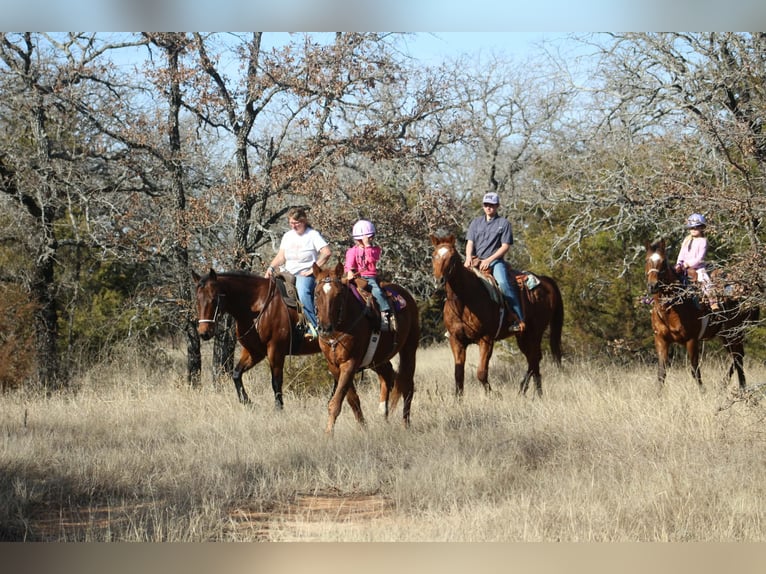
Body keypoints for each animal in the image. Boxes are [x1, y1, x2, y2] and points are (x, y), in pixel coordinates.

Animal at [192, 269, 320, 406]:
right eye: (197, 300)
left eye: (214, 299)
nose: (204, 333)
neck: (258, 305)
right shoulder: (254, 352)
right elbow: (236, 374)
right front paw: (247, 402)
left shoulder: (275, 350)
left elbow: (276, 382)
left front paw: (278, 407)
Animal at [312, 262, 420, 434]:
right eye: (316, 294)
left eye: (339, 294)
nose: (325, 327)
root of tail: (407, 297)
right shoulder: (334, 366)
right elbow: (351, 399)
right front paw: (363, 427)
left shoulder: (350, 363)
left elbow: (336, 402)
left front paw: (328, 434)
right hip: (377, 359)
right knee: (387, 375)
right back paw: (383, 414)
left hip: (409, 349)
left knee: (407, 385)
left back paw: (405, 424)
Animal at [430, 234, 564, 397]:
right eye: (433, 255)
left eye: (452, 257)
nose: (439, 281)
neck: (464, 301)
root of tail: (545, 280)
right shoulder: (456, 340)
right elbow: (458, 374)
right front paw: (458, 400)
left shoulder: (486, 340)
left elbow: (481, 373)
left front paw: (494, 396)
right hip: (523, 336)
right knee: (534, 359)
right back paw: (536, 392)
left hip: (535, 332)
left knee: (534, 359)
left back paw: (524, 389)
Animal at [644, 239, 759, 391]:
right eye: (647, 260)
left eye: (663, 262)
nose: (653, 286)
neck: (671, 309)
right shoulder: (661, 340)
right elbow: (661, 373)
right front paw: (658, 394)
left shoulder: (692, 340)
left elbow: (695, 370)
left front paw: (702, 392)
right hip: (725, 335)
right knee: (737, 357)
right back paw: (733, 386)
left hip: (735, 333)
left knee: (738, 357)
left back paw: (734, 386)